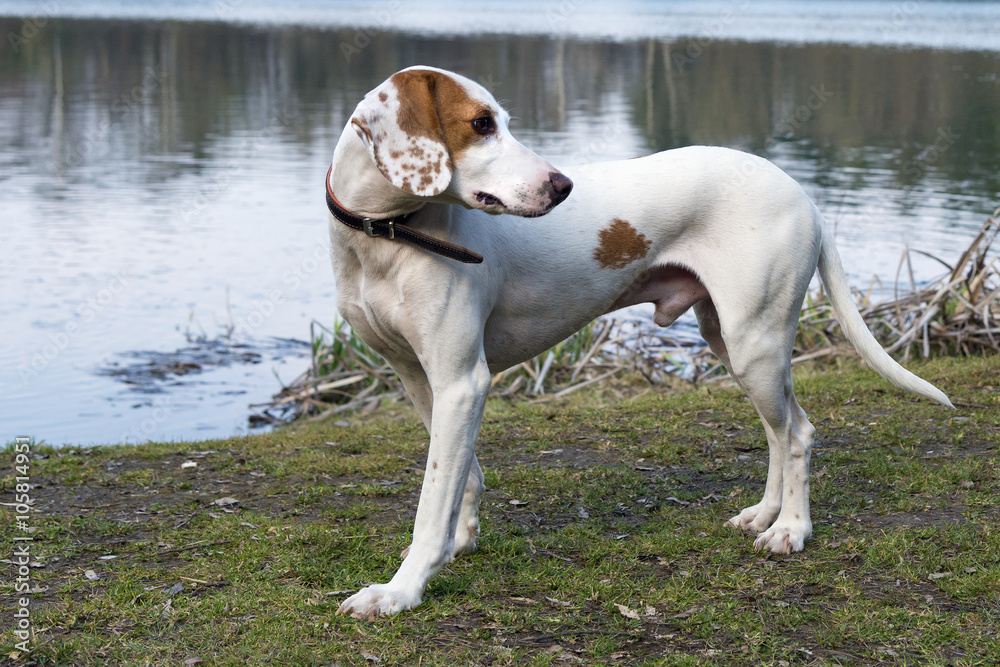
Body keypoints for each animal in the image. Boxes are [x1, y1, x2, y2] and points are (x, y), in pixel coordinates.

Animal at [328, 65, 952, 620]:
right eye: (481, 124)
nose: (562, 186)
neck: (386, 236)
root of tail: (803, 195)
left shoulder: (461, 381)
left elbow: (431, 501)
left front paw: (401, 591)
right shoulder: (421, 379)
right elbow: (462, 475)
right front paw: (460, 544)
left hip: (755, 344)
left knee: (797, 433)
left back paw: (792, 531)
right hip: (736, 345)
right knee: (781, 431)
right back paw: (766, 515)